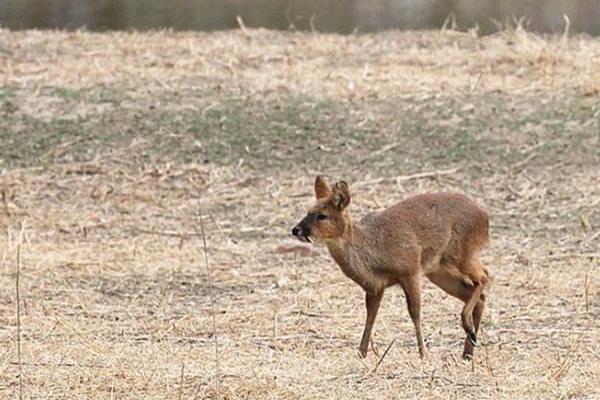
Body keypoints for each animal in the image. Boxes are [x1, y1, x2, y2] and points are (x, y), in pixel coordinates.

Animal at [292, 175, 492, 360]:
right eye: (307, 211)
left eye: (322, 216)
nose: (296, 230)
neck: (373, 257)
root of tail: (484, 216)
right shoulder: (376, 286)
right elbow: (371, 314)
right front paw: (362, 352)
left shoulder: (410, 270)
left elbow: (415, 312)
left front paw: (423, 354)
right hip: (439, 271)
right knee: (478, 294)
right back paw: (468, 350)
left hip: (459, 254)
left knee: (484, 275)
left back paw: (468, 330)